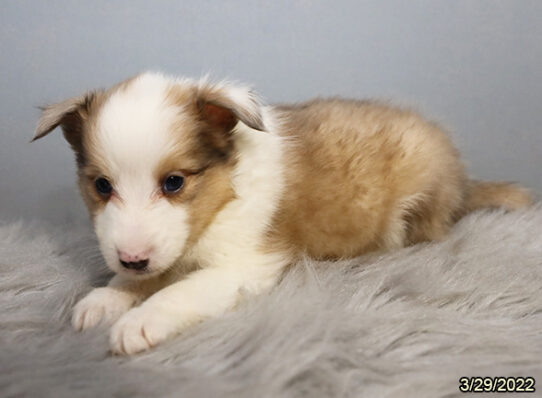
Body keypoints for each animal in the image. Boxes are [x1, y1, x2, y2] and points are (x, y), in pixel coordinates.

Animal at [35, 71, 536, 354]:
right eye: (102, 186)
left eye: (174, 182)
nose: (132, 259)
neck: (223, 197)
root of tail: (463, 182)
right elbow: (145, 277)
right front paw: (105, 298)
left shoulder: (247, 264)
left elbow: (181, 289)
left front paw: (139, 322)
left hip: (415, 206)